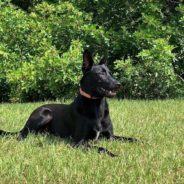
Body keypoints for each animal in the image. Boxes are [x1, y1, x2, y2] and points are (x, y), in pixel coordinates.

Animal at [0, 50, 138, 157]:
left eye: (110, 73)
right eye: (101, 74)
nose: (119, 85)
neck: (96, 105)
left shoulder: (110, 137)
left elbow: (130, 138)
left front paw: (140, 142)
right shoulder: (79, 143)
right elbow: (100, 148)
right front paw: (114, 154)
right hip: (45, 113)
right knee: (21, 135)